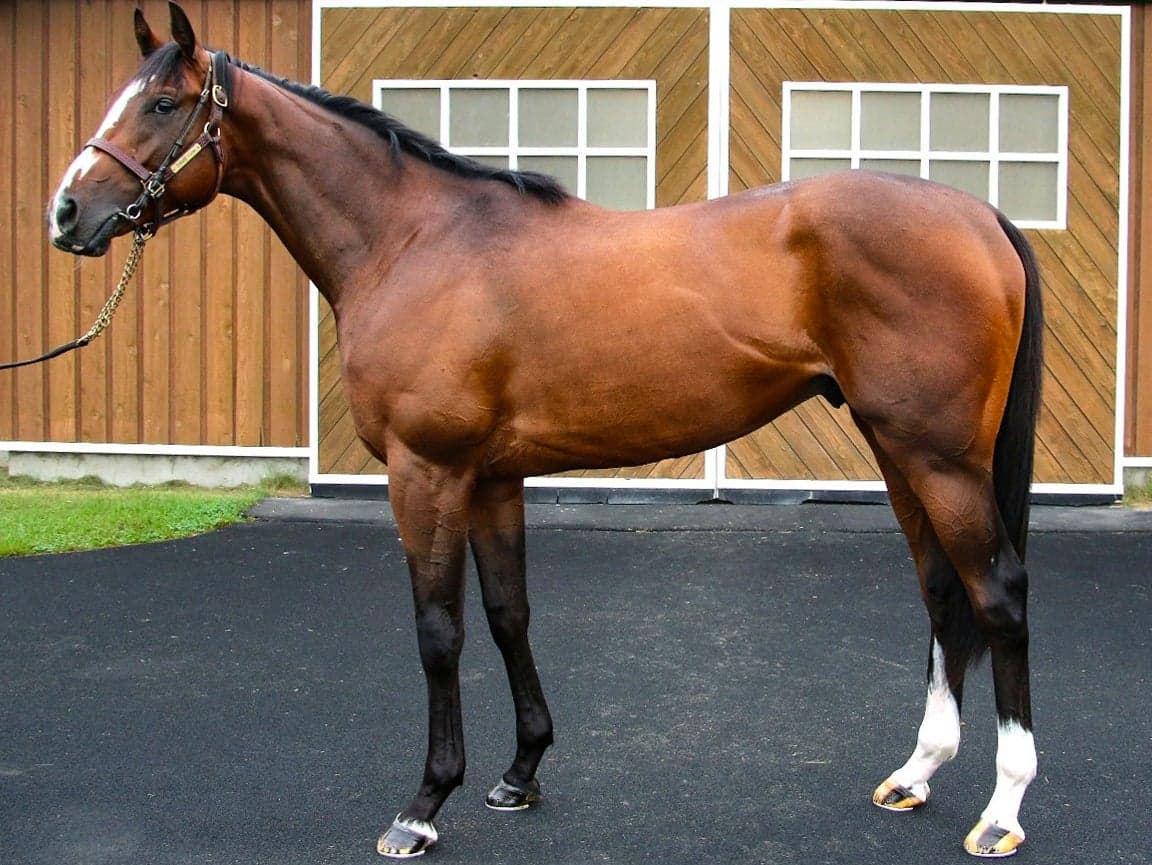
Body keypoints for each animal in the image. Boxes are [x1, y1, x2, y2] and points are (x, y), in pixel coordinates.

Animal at [47, 3, 1042, 859]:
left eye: (163, 104)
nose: (67, 214)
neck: (415, 241)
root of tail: (979, 213)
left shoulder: (427, 471)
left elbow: (439, 628)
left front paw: (423, 804)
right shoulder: (491, 476)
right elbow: (507, 614)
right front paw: (520, 773)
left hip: (940, 458)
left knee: (996, 594)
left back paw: (1001, 810)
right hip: (898, 451)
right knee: (942, 593)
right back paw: (916, 772)